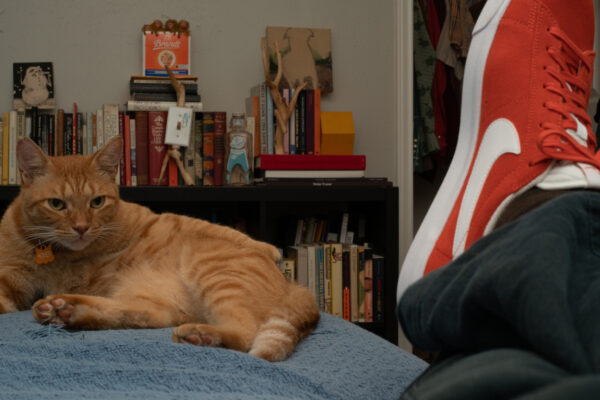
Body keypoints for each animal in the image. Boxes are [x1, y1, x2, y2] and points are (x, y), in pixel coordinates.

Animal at [0, 136, 318, 360]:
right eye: (56, 204)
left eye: (97, 202)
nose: (81, 228)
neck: (58, 254)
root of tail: (293, 286)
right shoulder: (11, 279)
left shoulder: (153, 219)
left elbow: (210, 227)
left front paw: (269, 248)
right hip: (152, 297)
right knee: (146, 315)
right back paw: (65, 310)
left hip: (213, 273)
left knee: (244, 334)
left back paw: (202, 336)